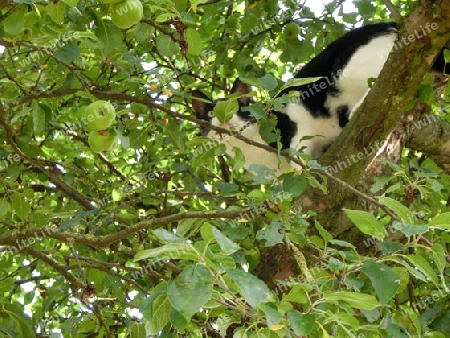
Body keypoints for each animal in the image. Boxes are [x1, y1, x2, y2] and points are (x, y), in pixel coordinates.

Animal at [192, 23, 448, 174]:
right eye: (210, 113)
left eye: (236, 107)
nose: (223, 119)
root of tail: (394, 23)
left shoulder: (295, 116)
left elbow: (298, 151)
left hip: (352, 69)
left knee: (385, 84)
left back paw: (359, 108)